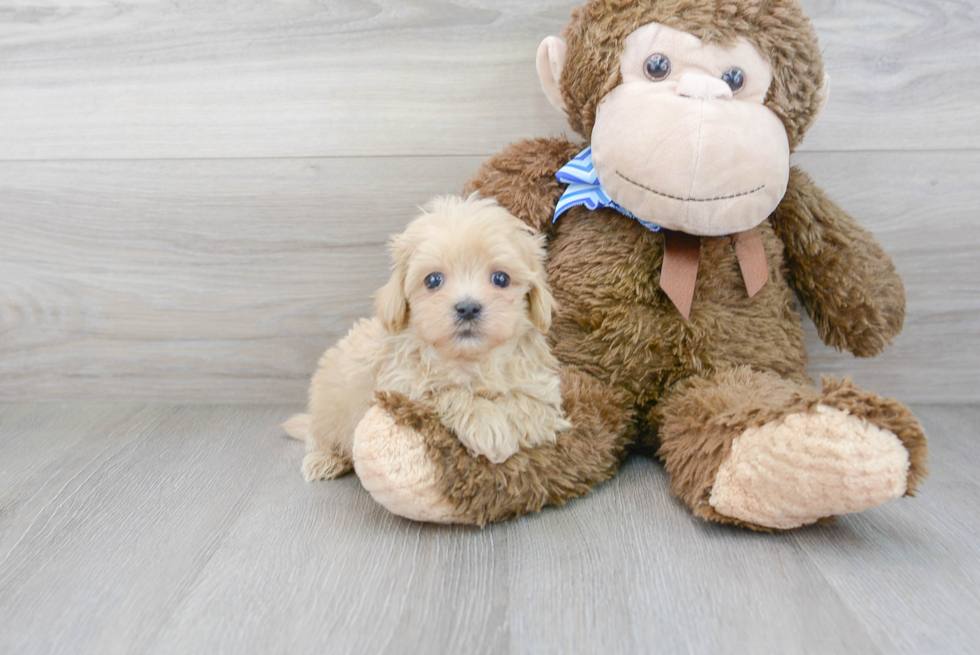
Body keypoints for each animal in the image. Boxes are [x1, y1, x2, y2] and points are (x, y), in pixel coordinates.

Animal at [284, 195, 572, 482]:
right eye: (433, 280)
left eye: (500, 278)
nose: (468, 308)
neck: (470, 358)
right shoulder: (399, 386)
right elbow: (447, 391)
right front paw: (486, 423)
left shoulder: (540, 387)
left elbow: (530, 406)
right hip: (326, 405)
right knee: (319, 437)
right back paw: (324, 460)